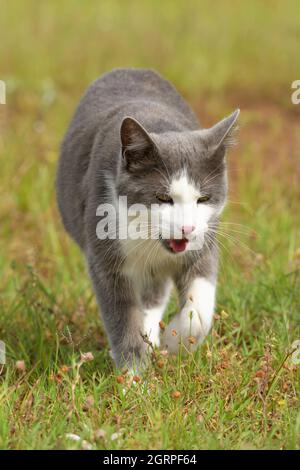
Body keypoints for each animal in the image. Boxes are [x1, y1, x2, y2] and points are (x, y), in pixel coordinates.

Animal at [55, 69, 239, 370]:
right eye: (163, 197)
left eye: (203, 198)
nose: (186, 227)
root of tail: (128, 69)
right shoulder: (105, 256)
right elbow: (122, 315)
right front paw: (133, 375)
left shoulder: (206, 238)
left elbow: (201, 301)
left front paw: (175, 342)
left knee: (155, 294)